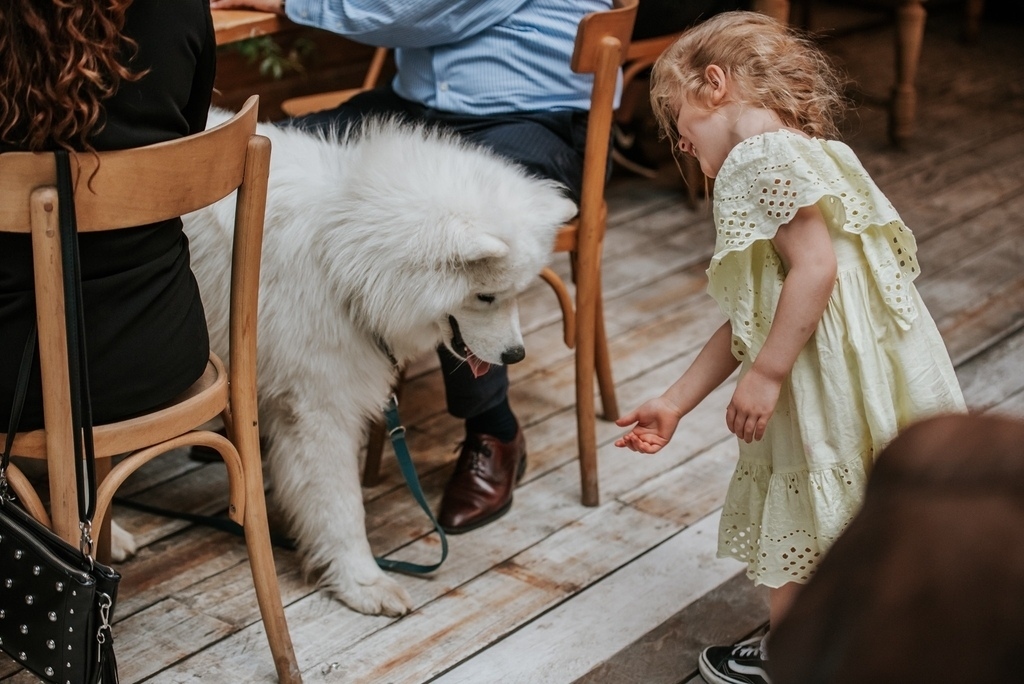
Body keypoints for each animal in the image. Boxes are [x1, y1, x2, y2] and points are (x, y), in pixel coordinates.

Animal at [180, 111, 577, 614]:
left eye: (517, 294)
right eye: (486, 296)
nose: (516, 355)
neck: (344, 250)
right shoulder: (317, 408)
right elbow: (341, 505)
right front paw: (362, 582)